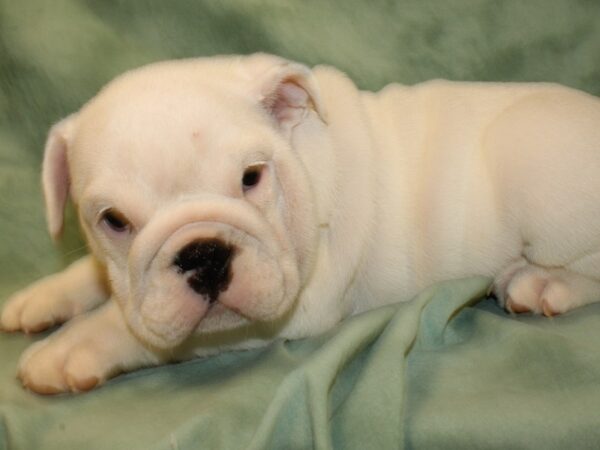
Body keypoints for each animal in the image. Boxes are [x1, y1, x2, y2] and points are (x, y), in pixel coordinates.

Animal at [1, 54, 600, 394]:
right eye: (115, 222)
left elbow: (131, 328)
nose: (203, 253)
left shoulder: (288, 310)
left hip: (531, 166)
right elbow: (99, 279)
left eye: (251, 177)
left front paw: (68, 350)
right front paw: (43, 296)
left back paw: (543, 282)